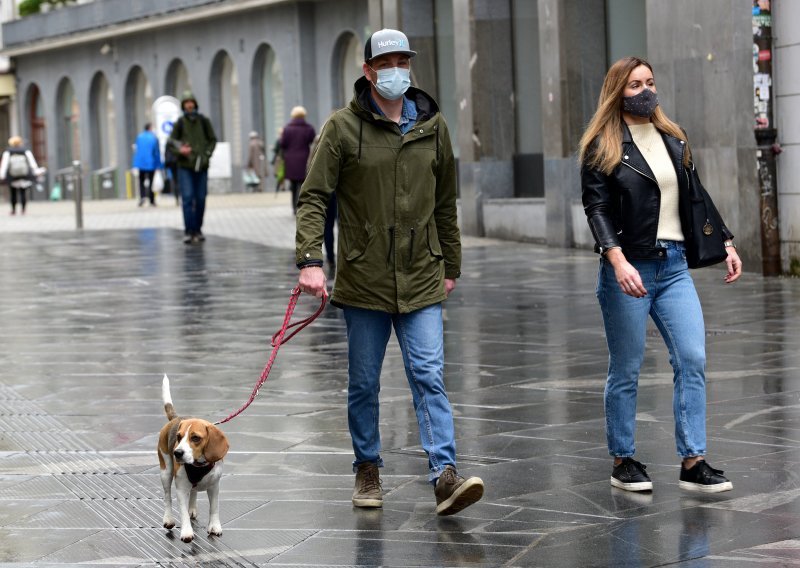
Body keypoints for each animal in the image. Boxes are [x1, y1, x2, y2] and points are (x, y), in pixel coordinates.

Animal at [158, 374, 230, 544]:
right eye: (178, 437)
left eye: (195, 438)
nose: (177, 452)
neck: (199, 465)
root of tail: (176, 418)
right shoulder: (181, 489)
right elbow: (182, 510)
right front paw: (186, 532)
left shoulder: (214, 486)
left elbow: (214, 508)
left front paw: (214, 526)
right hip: (165, 471)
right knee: (167, 497)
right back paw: (168, 519)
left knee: (194, 491)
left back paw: (192, 508)